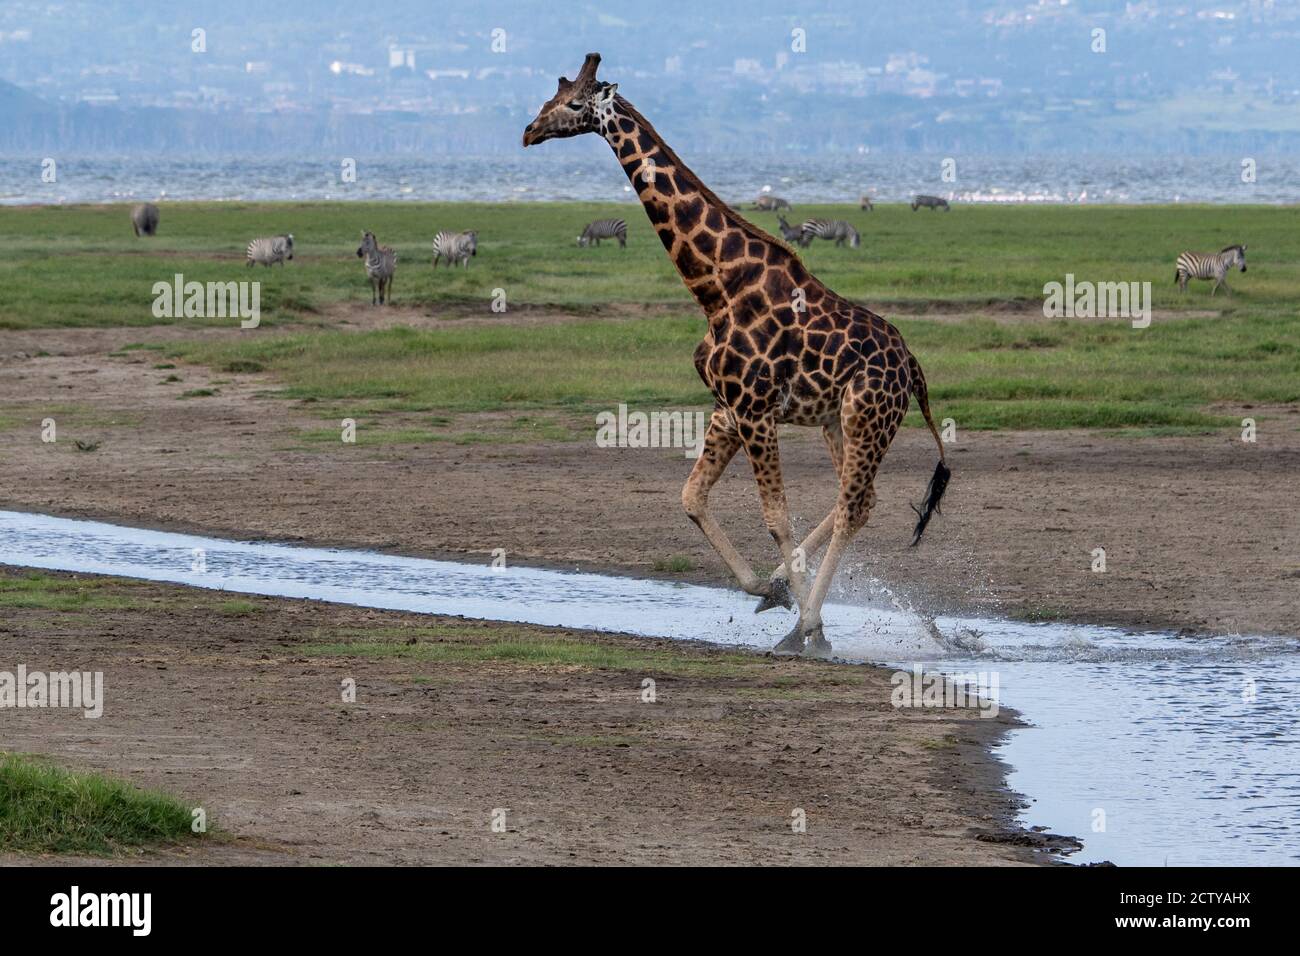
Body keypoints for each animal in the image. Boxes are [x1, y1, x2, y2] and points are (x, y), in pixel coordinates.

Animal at [522, 55, 951, 658]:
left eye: (574, 104)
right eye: (551, 98)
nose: (529, 131)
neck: (715, 287)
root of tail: (911, 365)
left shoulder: (754, 410)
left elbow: (776, 517)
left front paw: (804, 622)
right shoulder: (729, 408)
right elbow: (691, 497)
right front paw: (770, 591)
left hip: (867, 416)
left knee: (851, 506)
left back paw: (806, 627)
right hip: (838, 421)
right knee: (861, 501)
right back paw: (791, 599)